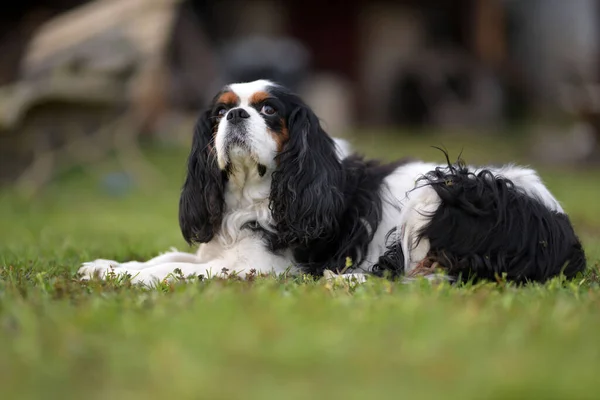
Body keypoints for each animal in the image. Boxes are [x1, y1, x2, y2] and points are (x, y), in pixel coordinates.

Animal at [79, 79, 584, 284]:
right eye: (220, 113)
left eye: (270, 111)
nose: (236, 116)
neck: (253, 193)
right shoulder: (221, 249)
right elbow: (170, 257)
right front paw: (109, 267)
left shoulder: (263, 267)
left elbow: (176, 269)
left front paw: (134, 277)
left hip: (439, 190)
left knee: (435, 279)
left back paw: (346, 282)